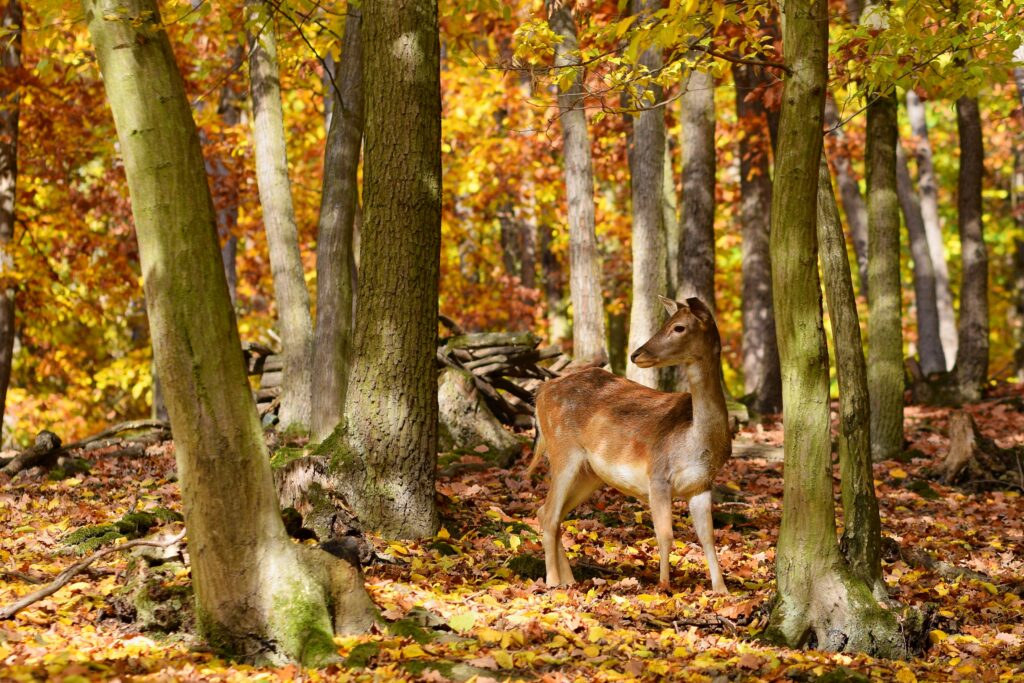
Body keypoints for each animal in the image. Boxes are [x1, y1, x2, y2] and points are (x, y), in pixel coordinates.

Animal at [528, 296, 729, 593]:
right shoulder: (658, 475)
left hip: (590, 473)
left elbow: (708, 537)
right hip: (562, 450)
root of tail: (541, 391)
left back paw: (570, 579)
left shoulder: (701, 485)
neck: (695, 440)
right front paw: (663, 587)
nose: (636, 354)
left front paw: (721, 590)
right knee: (550, 513)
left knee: (546, 512)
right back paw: (553, 582)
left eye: (678, 327)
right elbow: (665, 535)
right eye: (667, 323)